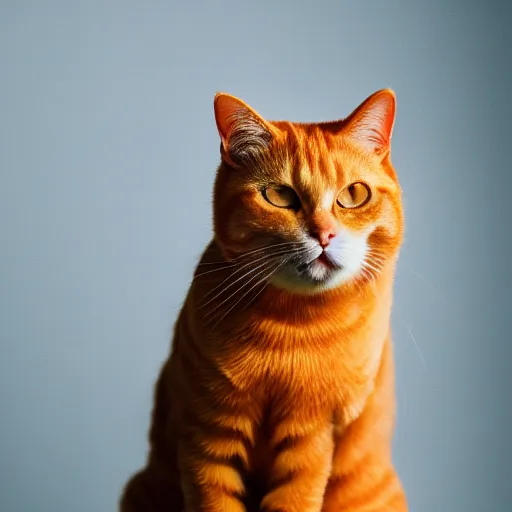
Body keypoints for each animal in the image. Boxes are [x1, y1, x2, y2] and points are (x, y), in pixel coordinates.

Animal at [120, 90, 408, 510]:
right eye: (280, 195)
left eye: (354, 194)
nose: (324, 234)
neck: (291, 325)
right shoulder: (208, 433)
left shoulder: (313, 435)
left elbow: (297, 496)